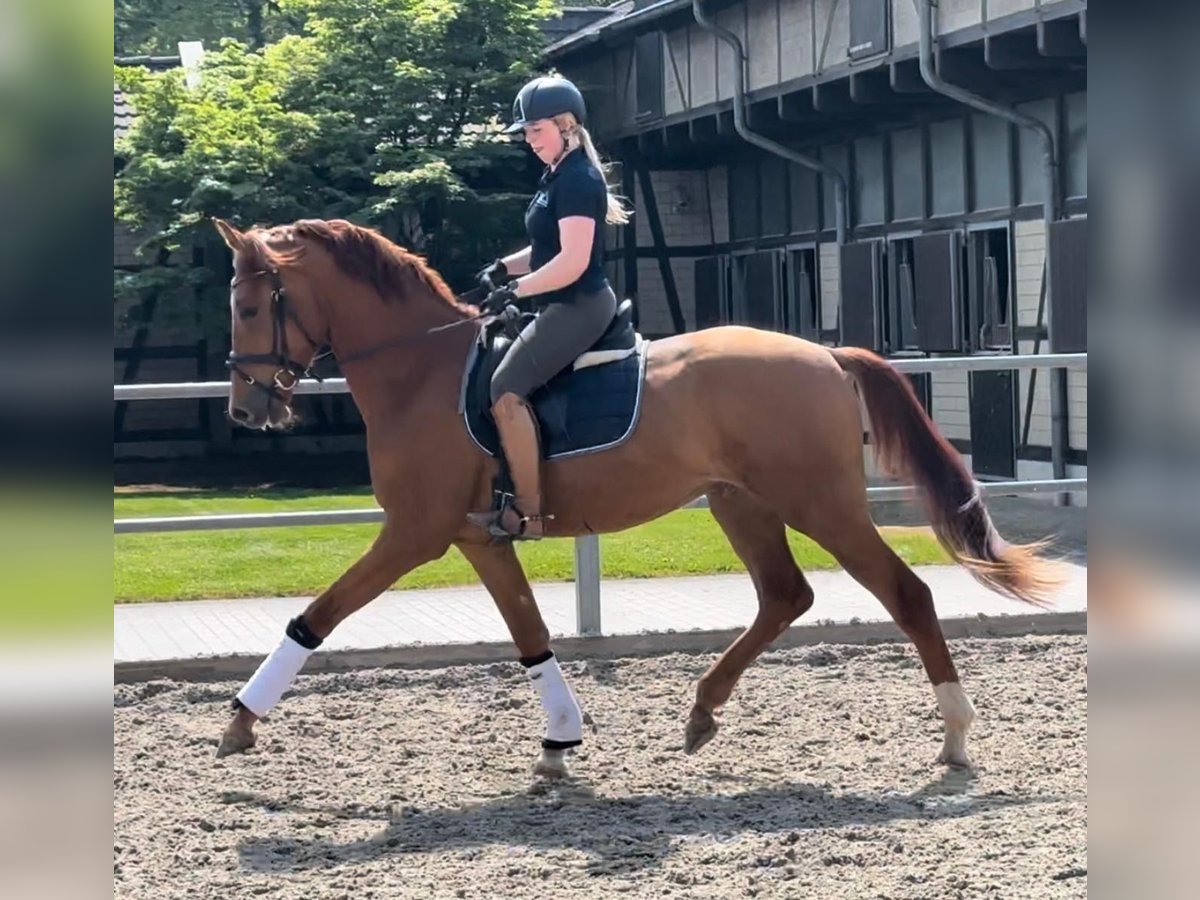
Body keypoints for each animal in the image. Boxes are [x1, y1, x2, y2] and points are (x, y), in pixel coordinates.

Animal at [211, 217, 1065, 777]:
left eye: (250, 307)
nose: (245, 411)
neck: (421, 372)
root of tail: (825, 354)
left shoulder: (414, 531)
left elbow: (319, 614)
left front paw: (241, 720)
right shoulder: (477, 536)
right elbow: (529, 633)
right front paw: (559, 741)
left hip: (821, 504)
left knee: (906, 593)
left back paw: (954, 738)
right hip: (740, 502)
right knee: (785, 596)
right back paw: (703, 711)